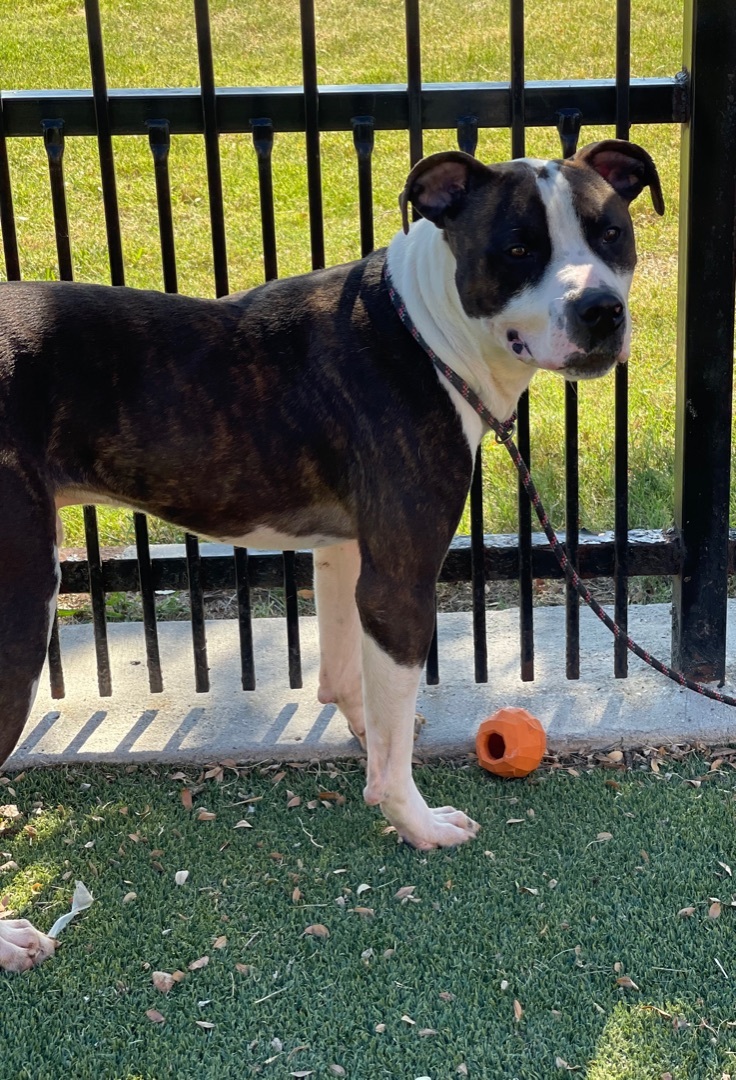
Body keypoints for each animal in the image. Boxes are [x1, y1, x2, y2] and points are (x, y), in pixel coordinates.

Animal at [0, 139, 662, 970]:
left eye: (610, 233)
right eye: (518, 249)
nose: (600, 310)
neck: (427, 332)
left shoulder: (350, 555)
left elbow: (355, 679)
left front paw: (368, 733)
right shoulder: (401, 580)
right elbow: (394, 736)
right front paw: (414, 820)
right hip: (20, 612)